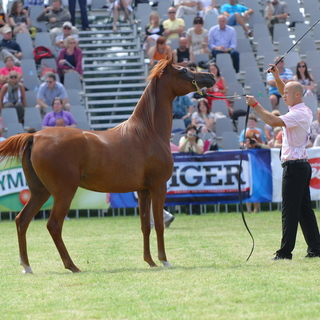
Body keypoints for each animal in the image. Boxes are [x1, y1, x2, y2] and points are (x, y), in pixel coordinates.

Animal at [0, 57, 215, 272]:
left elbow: (145, 225)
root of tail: (35, 136)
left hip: (40, 192)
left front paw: (150, 261)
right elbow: (160, 224)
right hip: (64, 192)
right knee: (53, 225)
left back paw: (27, 266)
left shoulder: (143, 191)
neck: (147, 133)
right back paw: (72, 266)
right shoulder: (158, 187)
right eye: (183, 70)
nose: (210, 76)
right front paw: (164, 260)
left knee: (22, 220)